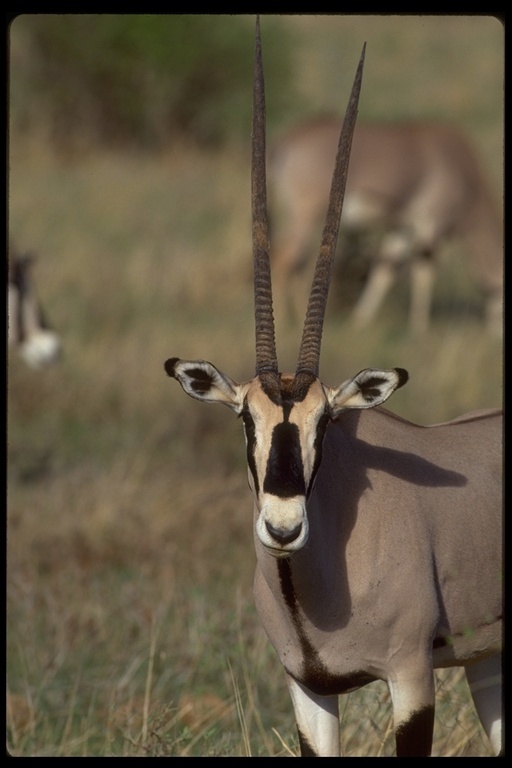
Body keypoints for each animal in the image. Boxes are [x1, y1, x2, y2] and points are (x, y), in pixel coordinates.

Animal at [270, 116, 502, 332]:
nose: (495, 332)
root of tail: (289, 140)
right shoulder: (428, 227)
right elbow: (424, 274)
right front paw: (420, 327)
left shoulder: (401, 229)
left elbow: (384, 270)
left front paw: (360, 320)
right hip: (306, 215)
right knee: (285, 258)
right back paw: (283, 321)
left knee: (296, 260)